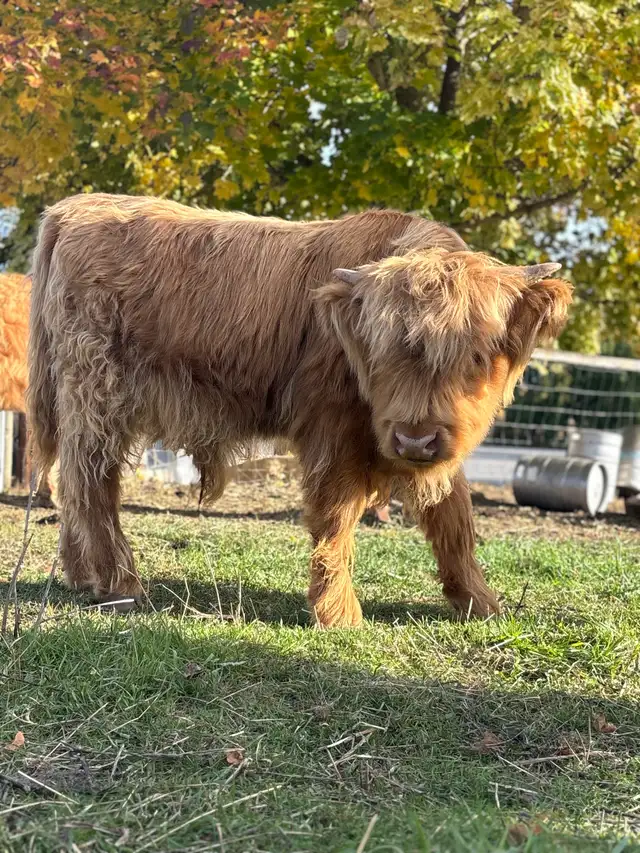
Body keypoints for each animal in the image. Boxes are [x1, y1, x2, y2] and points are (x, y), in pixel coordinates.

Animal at [27, 194, 572, 625]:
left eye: (478, 355)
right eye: (380, 351)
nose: (415, 439)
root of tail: (75, 207)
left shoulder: (428, 447)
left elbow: (454, 517)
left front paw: (480, 602)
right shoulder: (332, 429)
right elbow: (336, 518)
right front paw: (338, 614)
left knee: (72, 482)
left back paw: (81, 577)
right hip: (97, 394)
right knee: (90, 480)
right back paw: (119, 583)